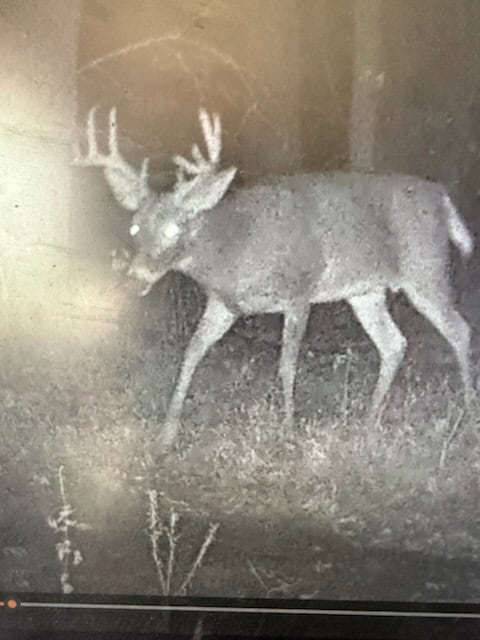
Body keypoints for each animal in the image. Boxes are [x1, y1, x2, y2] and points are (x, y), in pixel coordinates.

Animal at [73, 105, 474, 449]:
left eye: (175, 229)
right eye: (135, 227)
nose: (135, 278)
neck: (234, 251)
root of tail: (441, 196)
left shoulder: (298, 289)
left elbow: (286, 364)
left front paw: (288, 428)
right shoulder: (224, 304)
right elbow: (192, 352)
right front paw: (166, 434)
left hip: (425, 267)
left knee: (460, 330)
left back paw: (469, 416)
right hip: (366, 291)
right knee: (394, 342)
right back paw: (368, 422)